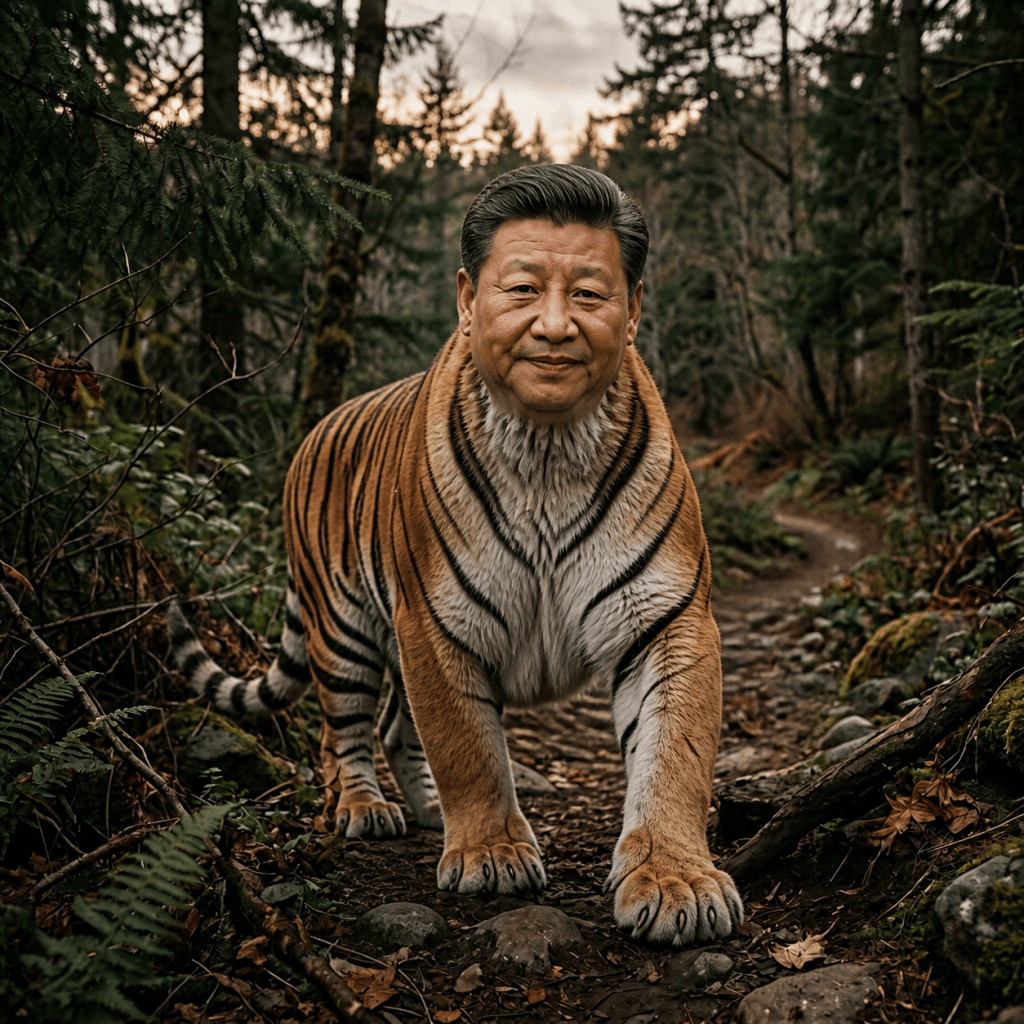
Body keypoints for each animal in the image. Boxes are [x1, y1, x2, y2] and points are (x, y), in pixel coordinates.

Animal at [168, 164, 743, 947]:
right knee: (342, 730)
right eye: (524, 289)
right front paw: (493, 853)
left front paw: (676, 879)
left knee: (392, 727)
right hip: (344, 628)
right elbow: (468, 748)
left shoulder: (664, 618)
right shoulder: (437, 624)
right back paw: (363, 808)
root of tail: (311, 434)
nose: (554, 333)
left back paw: (425, 810)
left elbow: (672, 752)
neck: (548, 443)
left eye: (588, 295)